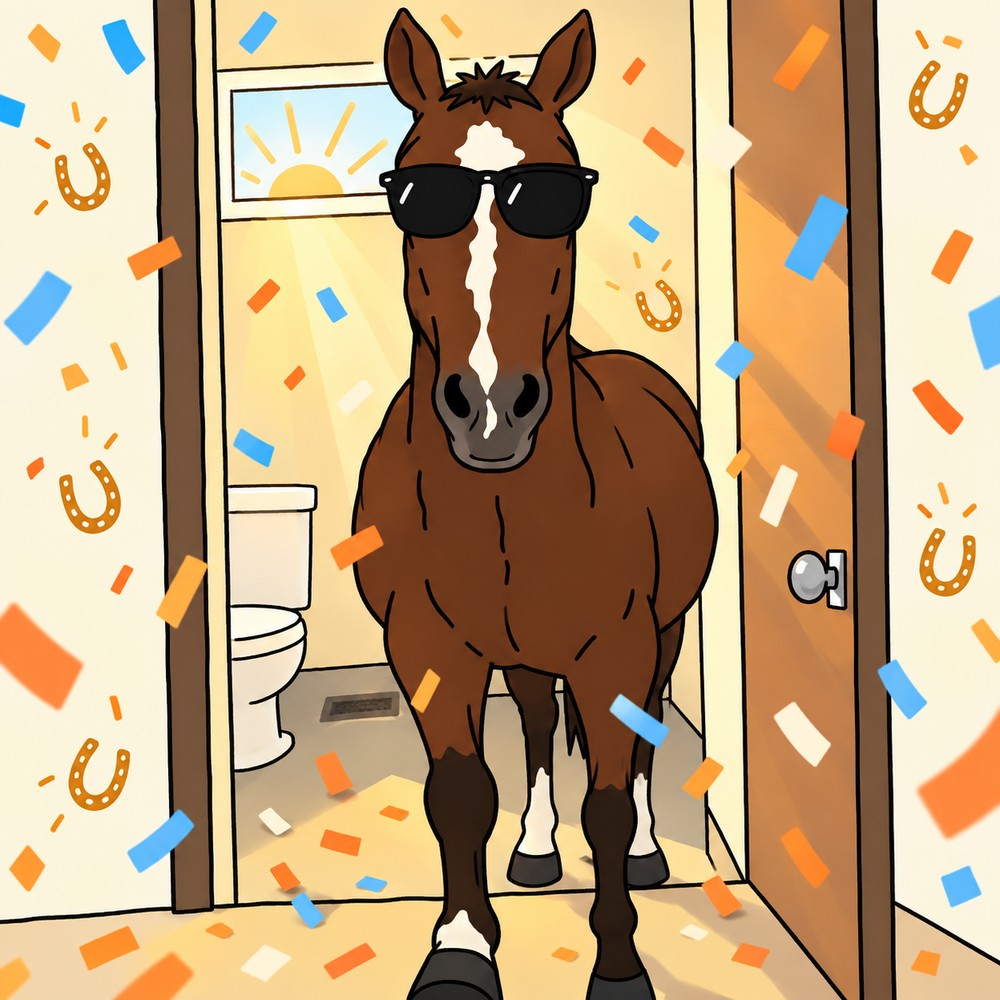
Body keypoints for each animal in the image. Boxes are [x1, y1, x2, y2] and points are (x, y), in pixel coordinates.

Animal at [353, 9, 718, 998]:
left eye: (555, 196)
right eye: (416, 193)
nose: (489, 403)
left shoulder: (618, 646)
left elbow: (610, 796)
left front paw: (619, 965)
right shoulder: (428, 647)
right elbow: (460, 794)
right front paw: (461, 948)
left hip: (664, 629)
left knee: (646, 734)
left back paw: (645, 853)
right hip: (521, 650)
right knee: (538, 722)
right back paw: (536, 850)